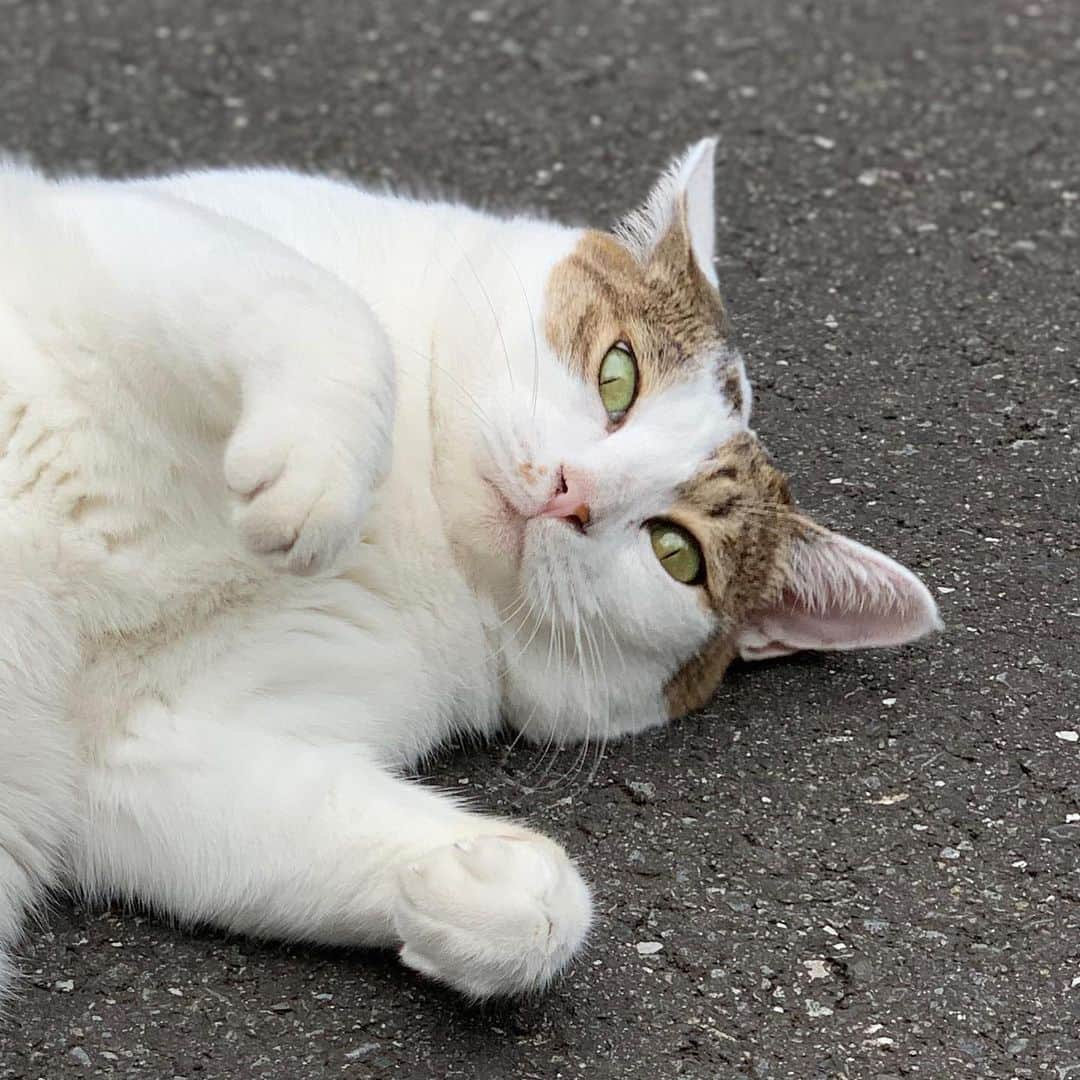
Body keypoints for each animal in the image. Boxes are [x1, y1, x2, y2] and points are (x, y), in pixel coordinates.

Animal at [0, 139, 937, 997]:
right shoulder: (119, 239)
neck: (423, 519)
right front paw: (320, 478)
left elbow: (283, 823)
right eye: (618, 376)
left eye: (677, 552)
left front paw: (487, 886)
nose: (570, 493)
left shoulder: (144, 753)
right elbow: (326, 310)